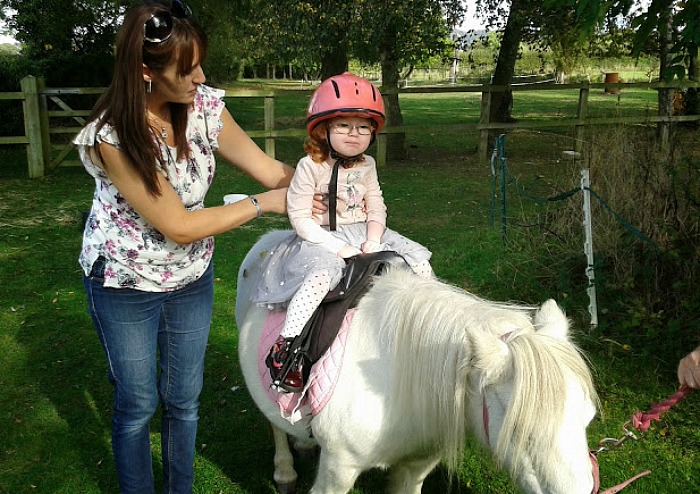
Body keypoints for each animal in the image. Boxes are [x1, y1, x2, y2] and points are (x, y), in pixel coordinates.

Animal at [235, 233, 596, 494]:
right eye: (518, 430)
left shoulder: (416, 467)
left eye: (588, 418)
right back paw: (284, 470)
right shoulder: (337, 470)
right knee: (271, 418)